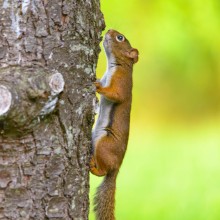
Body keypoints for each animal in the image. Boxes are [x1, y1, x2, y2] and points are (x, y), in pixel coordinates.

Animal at [90, 29, 138, 220]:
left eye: (120, 38)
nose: (109, 30)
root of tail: (117, 168)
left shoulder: (121, 83)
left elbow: (115, 94)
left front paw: (97, 87)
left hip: (104, 145)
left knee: (103, 170)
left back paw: (93, 167)